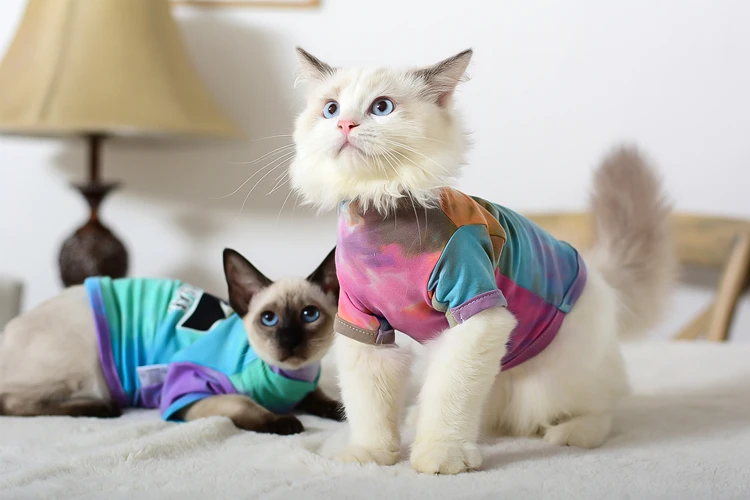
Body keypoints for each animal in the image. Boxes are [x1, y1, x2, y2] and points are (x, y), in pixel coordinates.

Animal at [0, 247, 344, 435]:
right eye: (269, 319)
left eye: (309, 315)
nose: (290, 341)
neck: (288, 378)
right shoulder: (189, 394)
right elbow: (245, 405)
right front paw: (285, 422)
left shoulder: (307, 386)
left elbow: (322, 397)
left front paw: (339, 411)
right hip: (85, 365)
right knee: (12, 403)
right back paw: (102, 408)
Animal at [288, 47, 676, 474]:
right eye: (330, 108)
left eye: (382, 107)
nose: (344, 124)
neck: (381, 211)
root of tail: (600, 280)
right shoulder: (363, 325)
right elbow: (369, 407)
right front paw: (369, 455)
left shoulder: (476, 309)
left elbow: (449, 401)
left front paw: (441, 457)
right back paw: (417, 419)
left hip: (547, 385)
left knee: (601, 409)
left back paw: (573, 433)